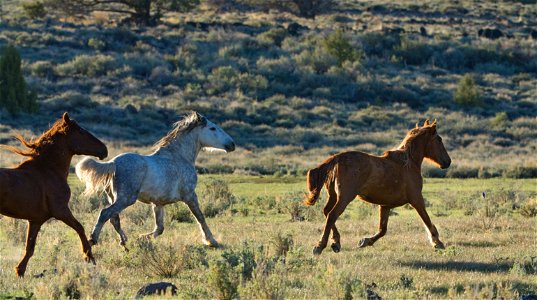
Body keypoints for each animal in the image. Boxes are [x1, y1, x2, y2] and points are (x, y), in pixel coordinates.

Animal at [0, 113, 108, 276]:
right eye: (81, 131)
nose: (104, 150)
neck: (49, 170)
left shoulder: (35, 220)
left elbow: (29, 248)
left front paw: (20, 271)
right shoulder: (61, 211)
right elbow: (80, 228)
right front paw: (89, 257)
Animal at [75, 112, 234, 248]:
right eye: (213, 128)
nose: (232, 144)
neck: (179, 157)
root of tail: (113, 163)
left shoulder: (158, 203)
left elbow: (160, 228)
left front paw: (141, 237)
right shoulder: (190, 196)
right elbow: (200, 217)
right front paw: (211, 241)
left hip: (114, 198)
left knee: (114, 219)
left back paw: (124, 241)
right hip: (126, 198)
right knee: (105, 214)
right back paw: (93, 239)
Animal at [304, 120, 450, 255]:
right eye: (439, 139)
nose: (447, 162)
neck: (408, 164)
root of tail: (337, 158)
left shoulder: (385, 205)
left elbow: (382, 230)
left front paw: (364, 241)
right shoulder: (417, 200)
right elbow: (427, 220)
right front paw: (437, 242)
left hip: (334, 196)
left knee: (326, 211)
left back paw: (336, 243)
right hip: (344, 197)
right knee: (332, 215)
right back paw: (320, 246)